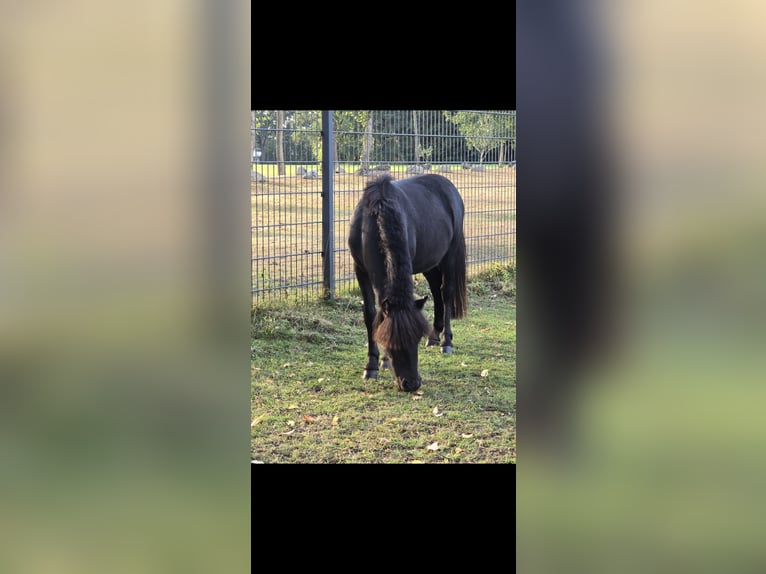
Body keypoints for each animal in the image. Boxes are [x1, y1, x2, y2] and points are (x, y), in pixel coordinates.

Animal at [347, 173, 468, 392]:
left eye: (415, 338)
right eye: (391, 340)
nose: (411, 384)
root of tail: (448, 186)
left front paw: (381, 361)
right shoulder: (360, 269)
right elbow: (371, 315)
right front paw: (373, 365)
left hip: (450, 254)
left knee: (446, 293)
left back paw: (446, 342)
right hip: (430, 262)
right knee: (436, 291)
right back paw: (434, 336)